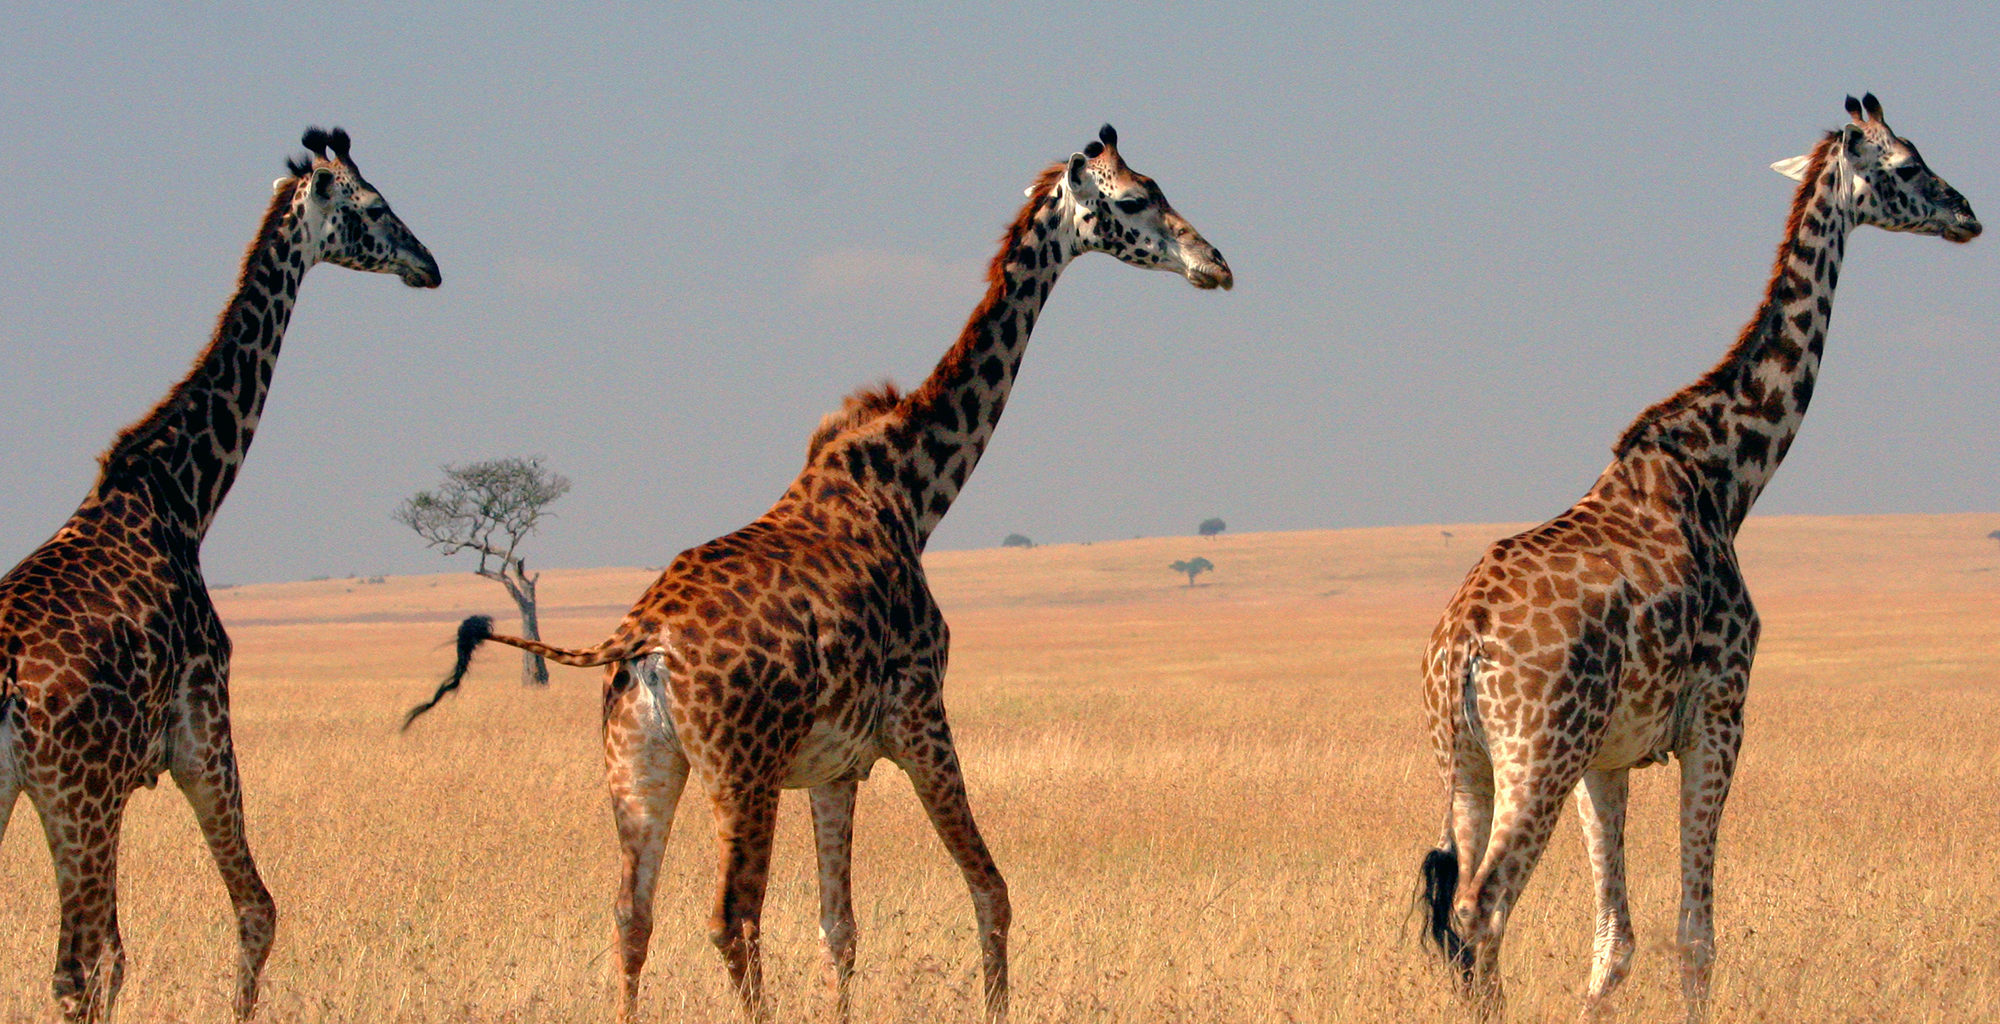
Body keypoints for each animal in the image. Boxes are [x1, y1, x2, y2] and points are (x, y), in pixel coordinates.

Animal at [0, 130, 442, 1024]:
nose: (431, 266)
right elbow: (255, 909)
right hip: (77, 798)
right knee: (76, 969)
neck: (182, 495)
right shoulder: (203, 725)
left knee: (83, 963)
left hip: (37, 798)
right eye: (376, 206)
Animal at [398, 124, 1224, 1020]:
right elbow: (991, 892)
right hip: (742, 772)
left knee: (631, 916)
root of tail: (639, 641)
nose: (1214, 263)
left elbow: (841, 929)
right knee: (731, 919)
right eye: (1135, 199)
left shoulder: (837, 766)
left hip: (639, 769)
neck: (910, 493)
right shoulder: (919, 717)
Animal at [1416, 94, 1976, 1016]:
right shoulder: (1720, 713)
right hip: (1536, 755)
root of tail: (1462, 642)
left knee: (1456, 916)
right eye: (1905, 164)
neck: (1726, 476)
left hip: (1465, 758)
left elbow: (1614, 944)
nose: (1966, 214)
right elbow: (1695, 937)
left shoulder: (1606, 758)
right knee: (1480, 908)